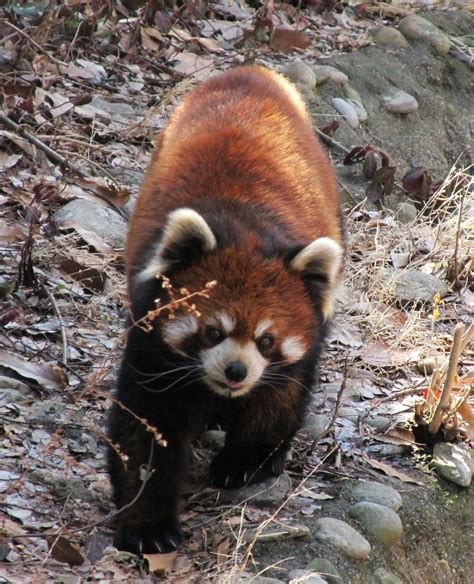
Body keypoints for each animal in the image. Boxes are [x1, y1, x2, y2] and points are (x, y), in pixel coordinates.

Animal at [108, 66, 344, 556]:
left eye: (266, 340)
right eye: (213, 332)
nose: (236, 371)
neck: (247, 231)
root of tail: (252, 73)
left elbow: (280, 397)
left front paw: (244, 460)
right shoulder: (150, 344)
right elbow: (146, 429)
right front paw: (147, 524)